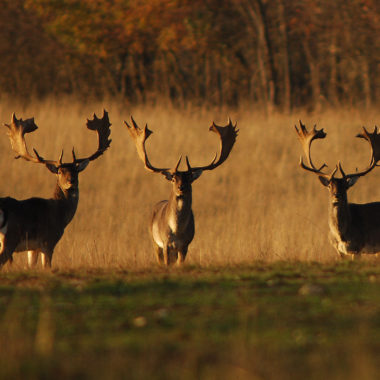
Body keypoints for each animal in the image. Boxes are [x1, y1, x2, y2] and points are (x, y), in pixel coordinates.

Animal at [0, 111, 112, 268]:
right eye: (59, 172)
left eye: (76, 170)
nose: (72, 181)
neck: (59, 213)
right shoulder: (49, 241)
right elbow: (47, 266)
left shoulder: (33, 248)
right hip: (11, 238)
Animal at [124, 117, 238, 266]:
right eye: (173, 179)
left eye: (189, 178)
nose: (181, 188)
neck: (177, 231)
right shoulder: (165, 243)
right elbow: (166, 263)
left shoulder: (185, 245)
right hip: (154, 241)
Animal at [296, 121, 380, 258]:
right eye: (330, 186)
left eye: (345, 186)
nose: (336, 196)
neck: (341, 236)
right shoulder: (338, 250)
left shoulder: (357, 248)